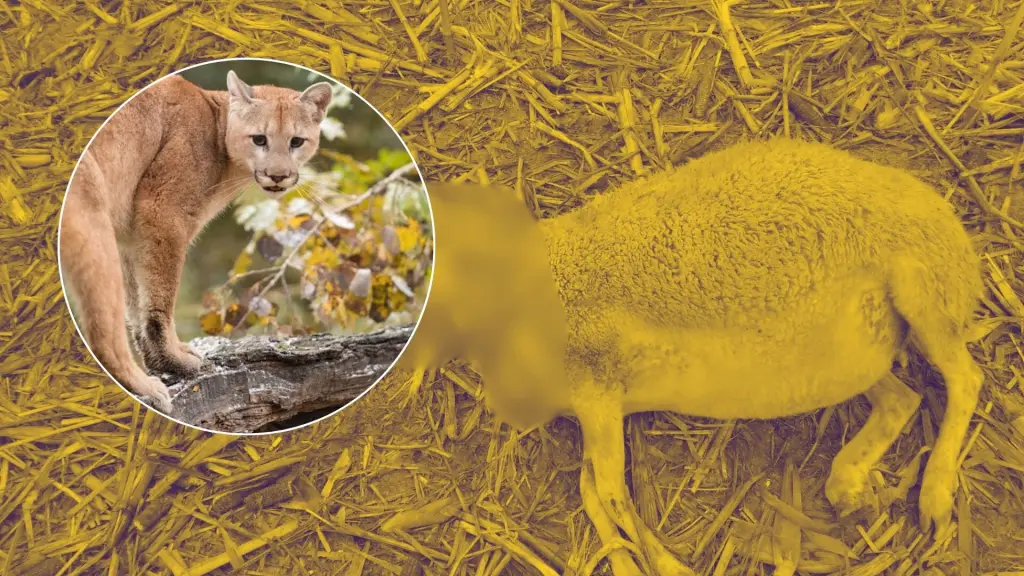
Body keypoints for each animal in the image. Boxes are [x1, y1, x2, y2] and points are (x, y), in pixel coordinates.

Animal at [404, 137, 985, 575]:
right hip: (864, 353)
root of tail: (949, 222)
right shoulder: (596, 407)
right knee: (903, 398)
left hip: (923, 288)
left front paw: (665, 564)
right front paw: (627, 562)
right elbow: (593, 491)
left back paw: (934, 501)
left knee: (965, 377)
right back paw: (848, 488)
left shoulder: (597, 388)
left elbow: (609, 491)